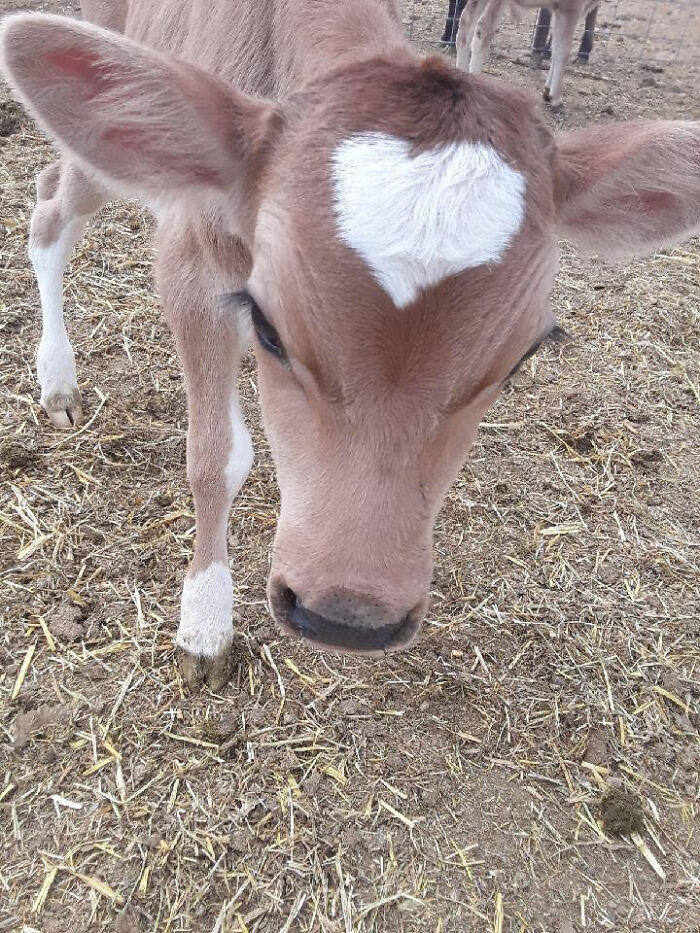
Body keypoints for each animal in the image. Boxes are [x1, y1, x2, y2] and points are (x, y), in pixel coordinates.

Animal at [455, 0, 600, 106]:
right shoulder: (571, 8)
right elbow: (562, 52)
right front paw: (556, 98)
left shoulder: (557, 8)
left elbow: (554, 48)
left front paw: (547, 91)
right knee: (482, 30)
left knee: (464, 25)